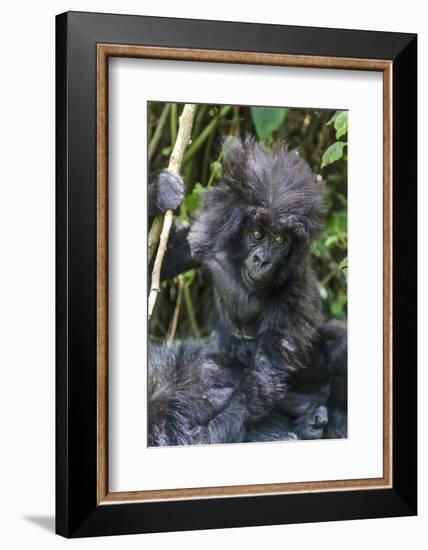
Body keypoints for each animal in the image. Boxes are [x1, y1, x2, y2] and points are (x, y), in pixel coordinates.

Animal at [149, 138, 346, 448]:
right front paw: (159, 192)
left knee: (339, 342)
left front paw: (235, 407)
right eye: (257, 234)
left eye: (280, 240)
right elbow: (159, 263)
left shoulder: (293, 287)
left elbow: (267, 370)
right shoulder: (207, 235)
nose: (262, 260)